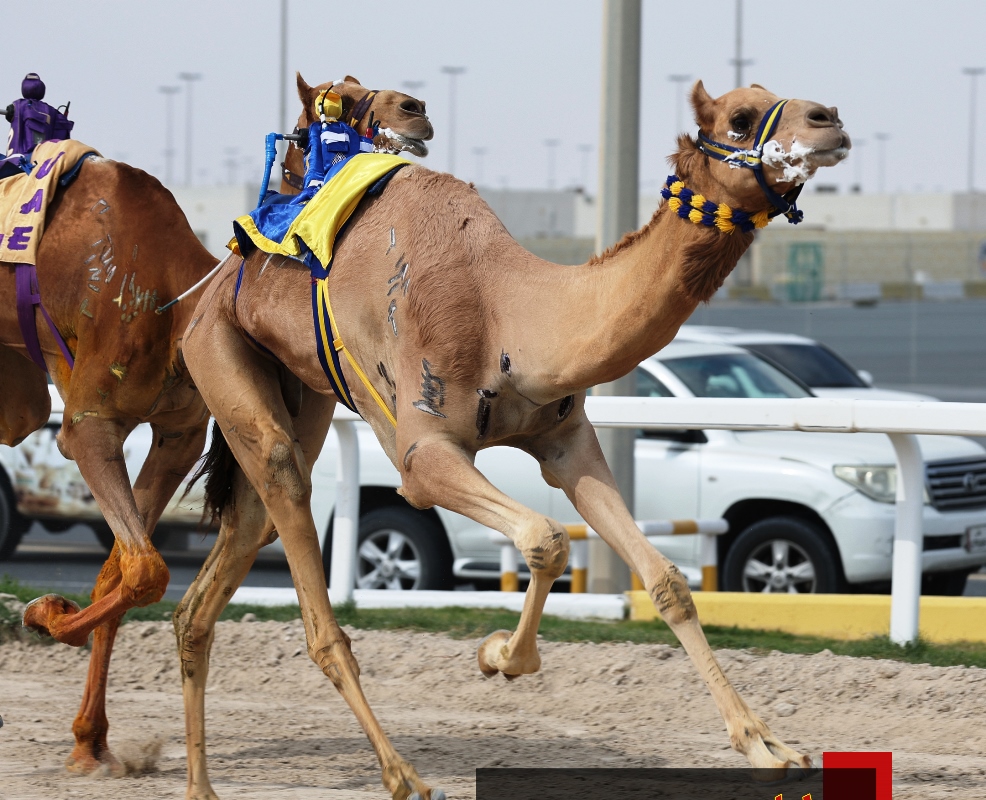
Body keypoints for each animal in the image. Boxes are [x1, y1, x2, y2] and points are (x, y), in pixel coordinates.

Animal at [1, 73, 430, 776]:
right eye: (335, 100)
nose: (415, 109)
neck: (174, 304)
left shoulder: (175, 433)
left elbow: (125, 568)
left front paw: (90, 740)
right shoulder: (89, 424)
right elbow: (143, 569)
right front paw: (42, 611)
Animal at [181, 83, 848, 800]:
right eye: (740, 119)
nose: (831, 120)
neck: (506, 311)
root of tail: (212, 285)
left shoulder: (567, 441)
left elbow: (664, 578)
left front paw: (767, 745)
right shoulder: (423, 454)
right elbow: (546, 539)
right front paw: (500, 654)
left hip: (298, 389)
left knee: (233, 548)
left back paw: (199, 783)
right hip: (217, 349)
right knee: (294, 524)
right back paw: (404, 775)